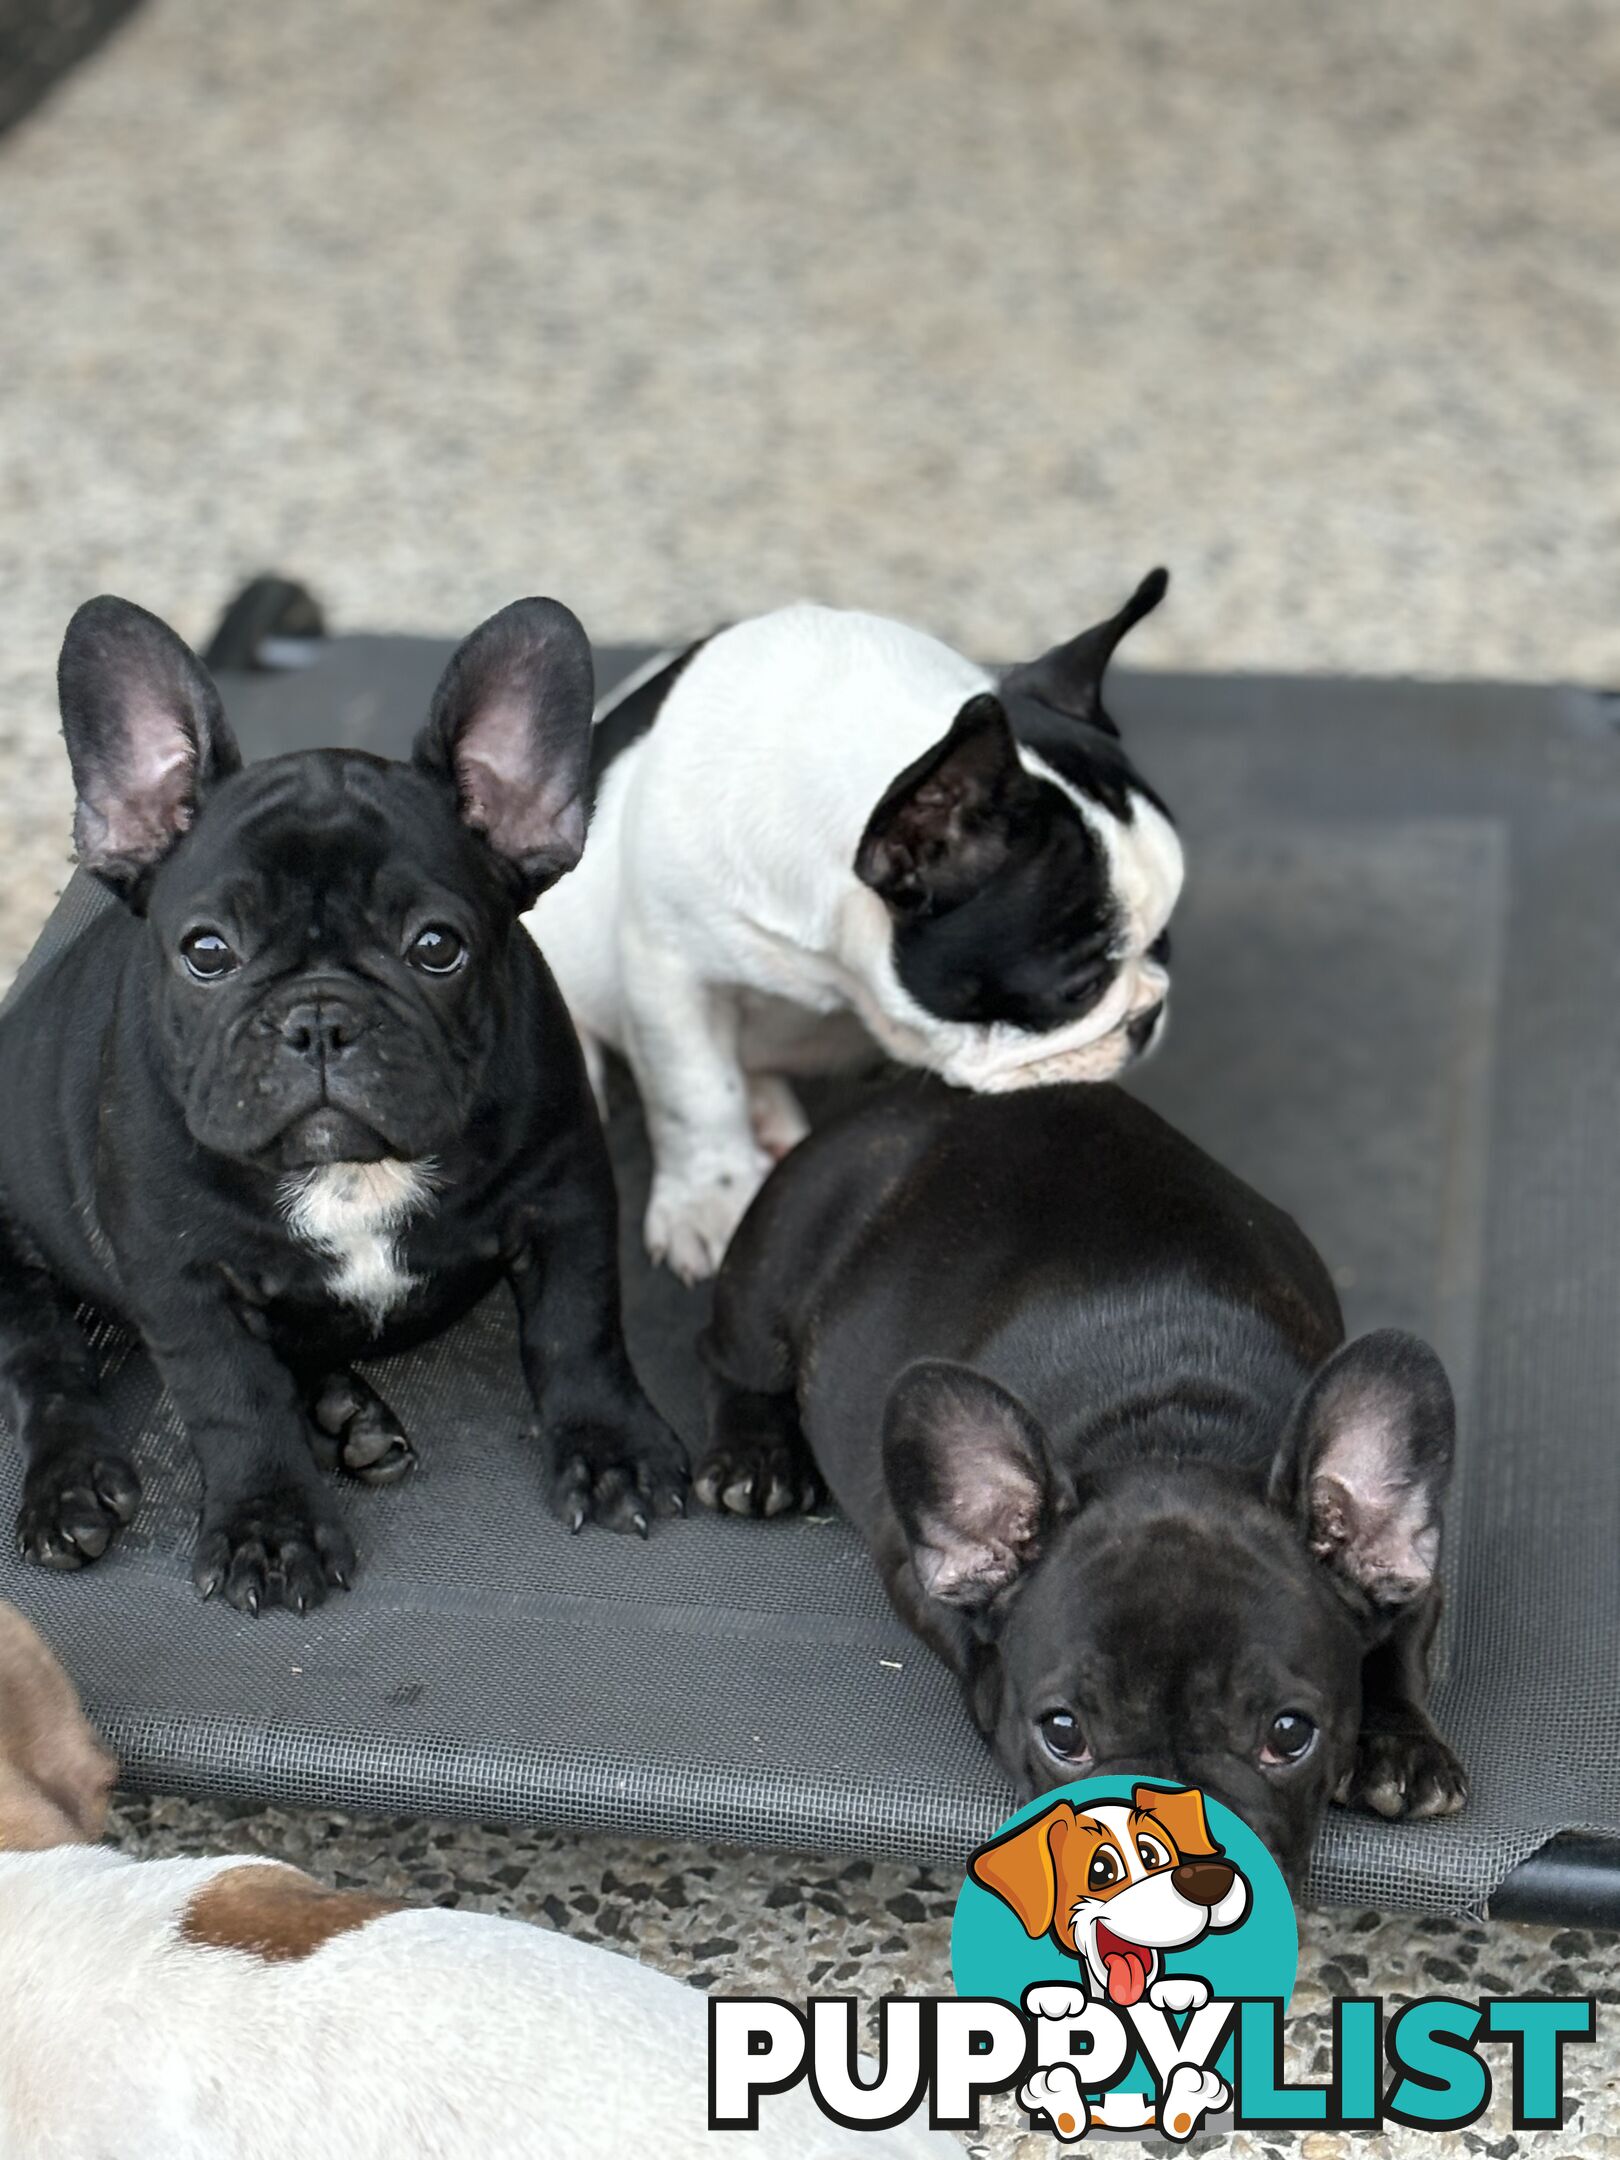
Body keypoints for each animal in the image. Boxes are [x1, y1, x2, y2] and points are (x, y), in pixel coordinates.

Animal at [0, 600, 691, 1615]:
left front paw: (611, 1450)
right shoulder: (183, 1279)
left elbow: (579, 1330)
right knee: (43, 1366)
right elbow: (233, 1401)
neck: (350, 1172)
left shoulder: (565, 1198)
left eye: (437, 947)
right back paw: (72, 1484)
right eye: (207, 951)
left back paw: (341, 1411)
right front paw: (270, 1527)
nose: (320, 1018)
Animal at [527, 574, 1183, 1278]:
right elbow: (696, 1092)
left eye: (1166, 940)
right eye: (1077, 990)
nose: (1148, 1017)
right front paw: (710, 1198)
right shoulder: (670, 973)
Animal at [699, 1080, 1468, 1892]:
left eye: (1290, 1735)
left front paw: (1400, 1745)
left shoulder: (1406, 1567)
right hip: (771, 1271)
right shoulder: (916, 1568)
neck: (1171, 1425)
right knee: (724, 1358)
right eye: (1063, 1733)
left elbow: (1400, 1645)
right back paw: (755, 1457)